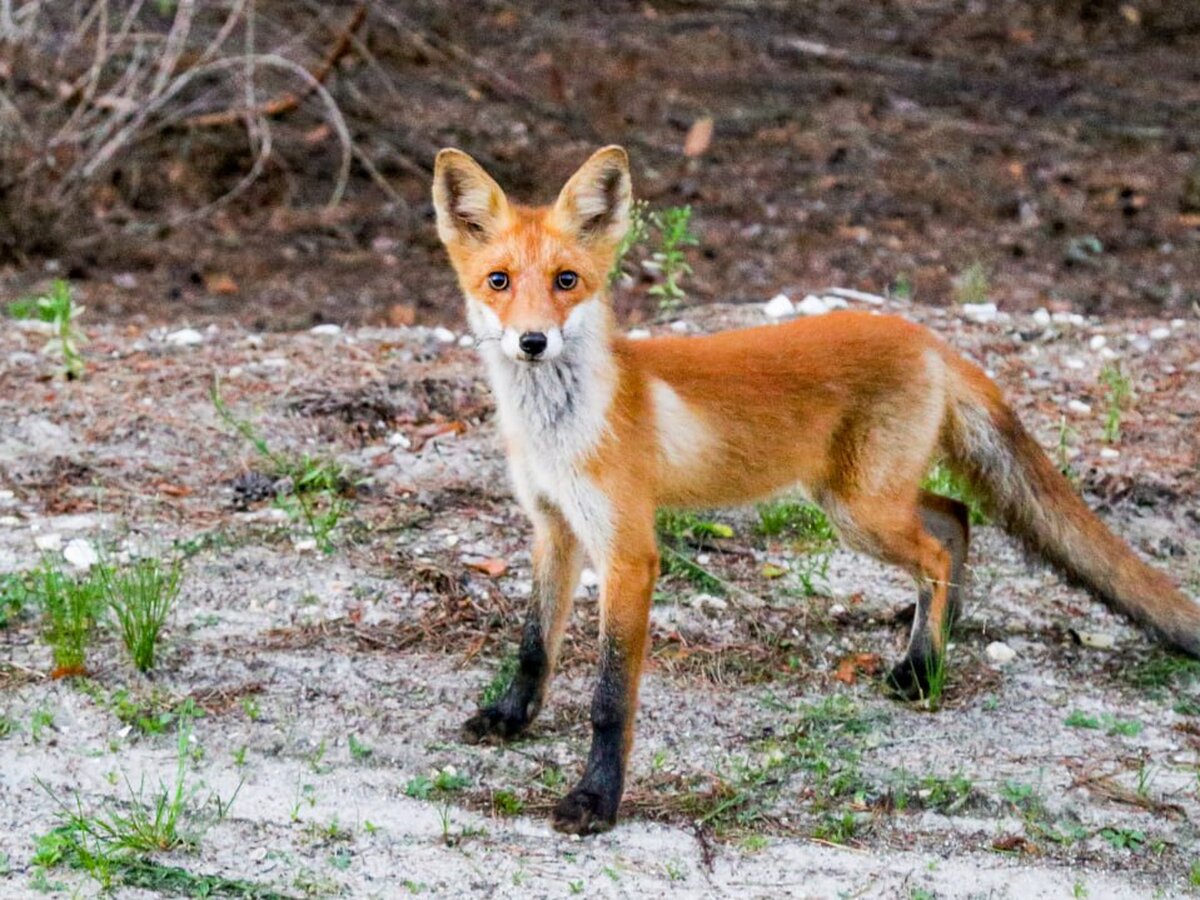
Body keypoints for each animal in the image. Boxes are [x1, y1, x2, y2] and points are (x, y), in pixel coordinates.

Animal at [432, 142, 1200, 840]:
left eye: (567, 280)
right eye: (499, 280)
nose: (533, 341)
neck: (562, 431)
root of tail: (927, 336)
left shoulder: (629, 553)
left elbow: (609, 699)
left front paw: (596, 799)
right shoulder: (553, 529)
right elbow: (535, 645)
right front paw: (511, 717)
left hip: (860, 511)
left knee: (938, 548)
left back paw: (922, 669)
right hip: (855, 499)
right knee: (955, 518)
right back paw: (934, 637)